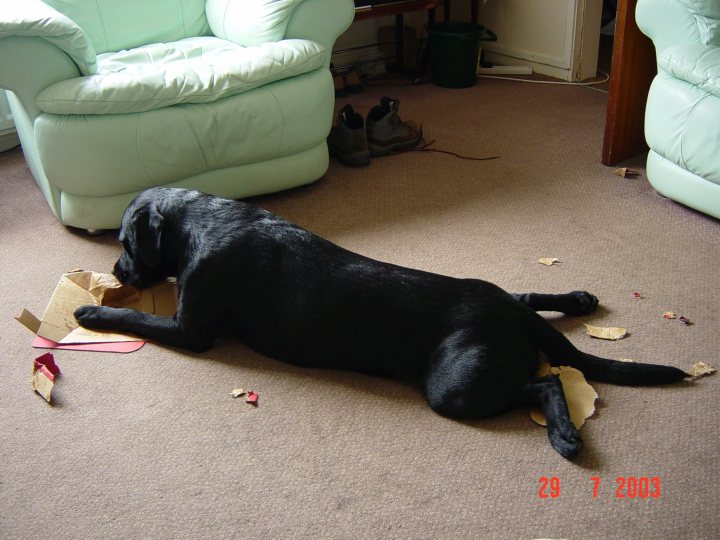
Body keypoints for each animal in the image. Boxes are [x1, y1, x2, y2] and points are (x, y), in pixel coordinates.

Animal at [76, 188, 688, 458]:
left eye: (125, 242)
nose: (116, 269)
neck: (201, 220)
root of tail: (514, 320)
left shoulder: (190, 330)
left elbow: (137, 315)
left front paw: (93, 310)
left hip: (455, 387)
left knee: (546, 382)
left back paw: (564, 435)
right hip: (503, 306)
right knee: (531, 301)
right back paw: (580, 299)